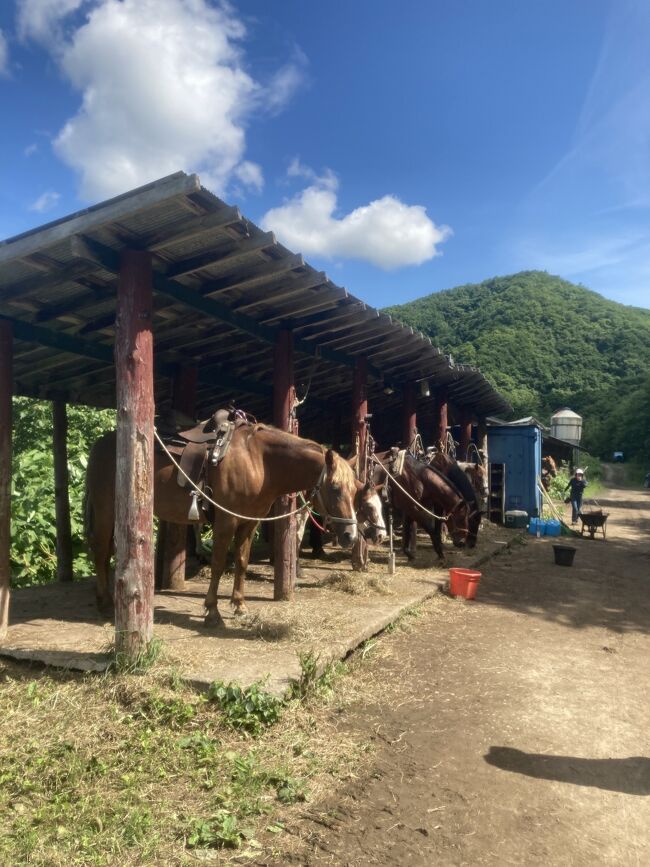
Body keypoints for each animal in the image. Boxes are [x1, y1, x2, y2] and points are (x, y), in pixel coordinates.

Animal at [83, 418, 356, 628]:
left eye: (354, 489)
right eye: (335, 488)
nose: (350, 535)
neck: (258, 461)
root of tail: (100, 445)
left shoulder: (249, 523)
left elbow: (242, 562)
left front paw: (239, 605)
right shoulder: (226, 521)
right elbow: (218, 564)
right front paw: (213, 612)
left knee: (106, 552)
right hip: (106, 510)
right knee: (100, 551)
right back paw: (106, 603)